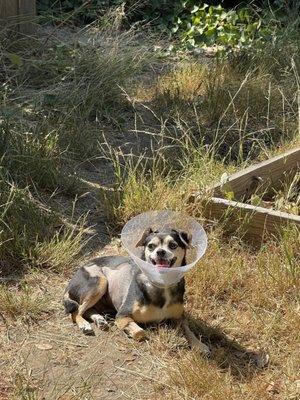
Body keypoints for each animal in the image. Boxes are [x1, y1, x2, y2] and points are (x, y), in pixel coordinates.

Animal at [62, 228, 210, 356]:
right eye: (151, 246)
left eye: (173, 245)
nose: (160, 252)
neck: (161, 285)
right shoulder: (122, 315)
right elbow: (141, 333)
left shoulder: (179, 318)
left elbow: (189, 331)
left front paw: (200, 345)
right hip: (101, 282)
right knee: (76, 312)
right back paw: (85, 324)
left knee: (87, 309)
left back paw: (99, 319)